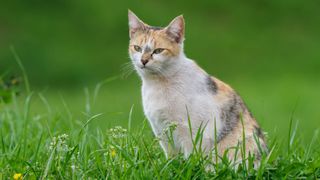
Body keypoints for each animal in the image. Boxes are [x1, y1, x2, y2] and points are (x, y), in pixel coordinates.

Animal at [127, 9, 268, 165]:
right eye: (137, 48)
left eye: (158, 51)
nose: (143, 60)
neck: (158, 84)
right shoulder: (160, 129)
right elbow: (171, 156)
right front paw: (171, 165)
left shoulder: (194, 130)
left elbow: (192, 156)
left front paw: (189, 167)